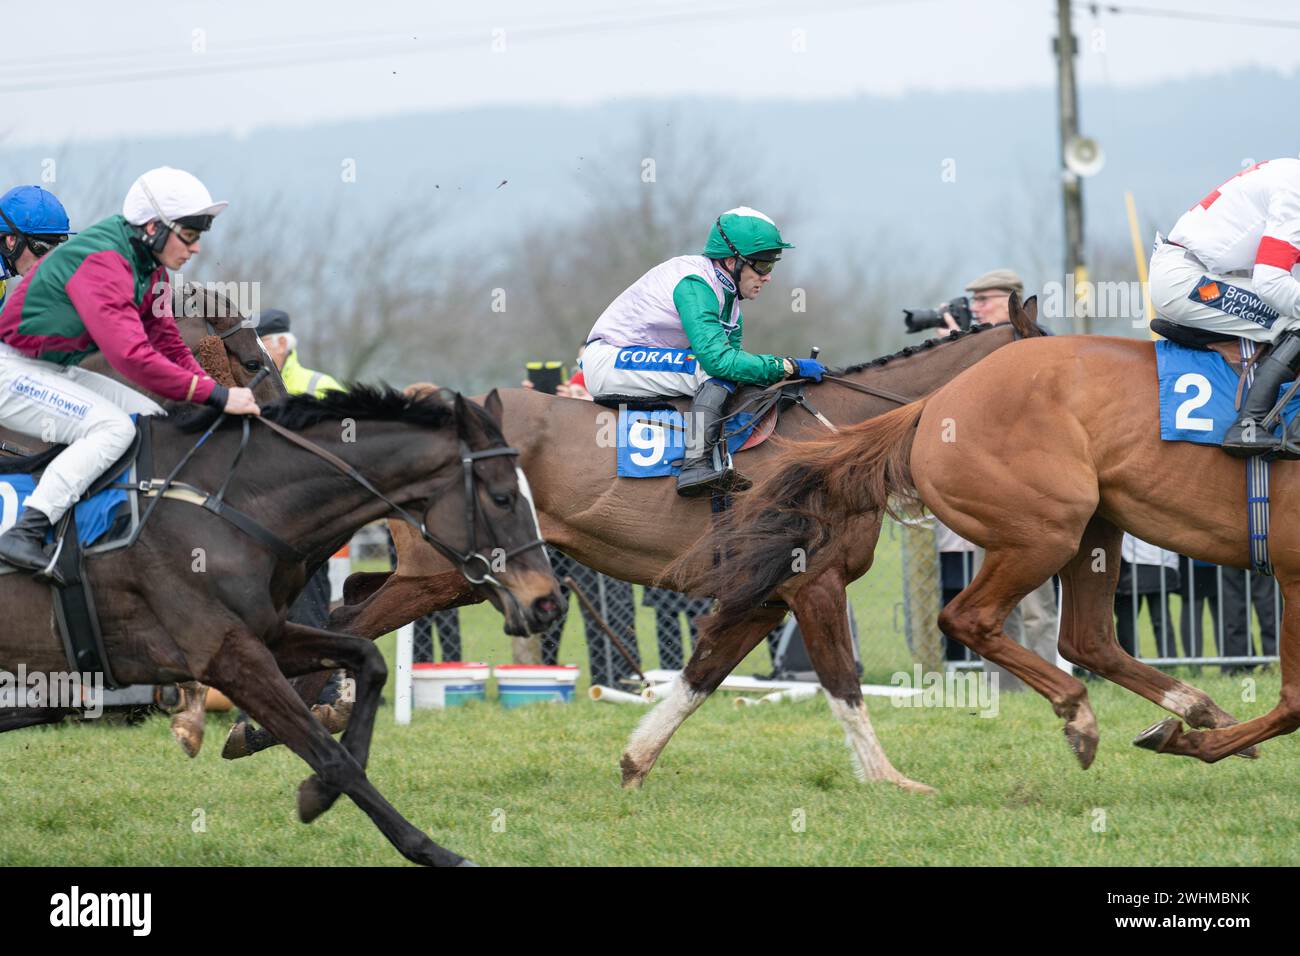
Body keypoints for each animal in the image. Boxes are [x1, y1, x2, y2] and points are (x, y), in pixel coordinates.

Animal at [0, 382, 561, 868]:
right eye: (503, 497)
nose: (547, 602)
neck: (225, 504)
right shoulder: (228, 655)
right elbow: (331, 756)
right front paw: (431, 850)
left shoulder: (267, 635)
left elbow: (369, 660)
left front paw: (316, 787)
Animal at [691, 329, 1268, 770]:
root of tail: (932, 410)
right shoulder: (811, 580)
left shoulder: (792, 583)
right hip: (1045, 534)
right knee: (977, 620)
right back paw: (1086, 713)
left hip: (1075, 529)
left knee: (1086, 639)